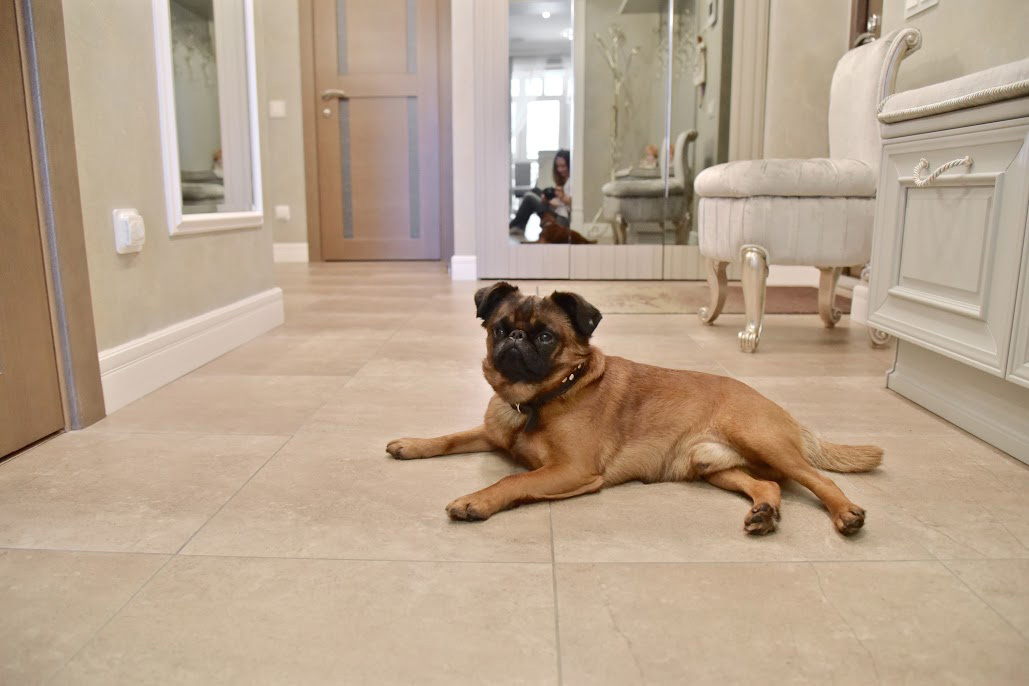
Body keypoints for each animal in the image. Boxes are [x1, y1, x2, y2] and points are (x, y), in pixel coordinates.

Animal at [386, 282, 882, 535]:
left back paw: (845, 514)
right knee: (768, 485)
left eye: (545, 336)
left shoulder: (572, 470)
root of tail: (784, 412)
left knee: (818, 480)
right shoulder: (491, 433)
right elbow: (449, 437)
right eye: (499, 329)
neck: (542, 398)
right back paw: (764, 513)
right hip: (714, 466)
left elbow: (514, 480)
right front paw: (412, 444)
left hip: (763, 441)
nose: (517, 339)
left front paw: (476, 500)